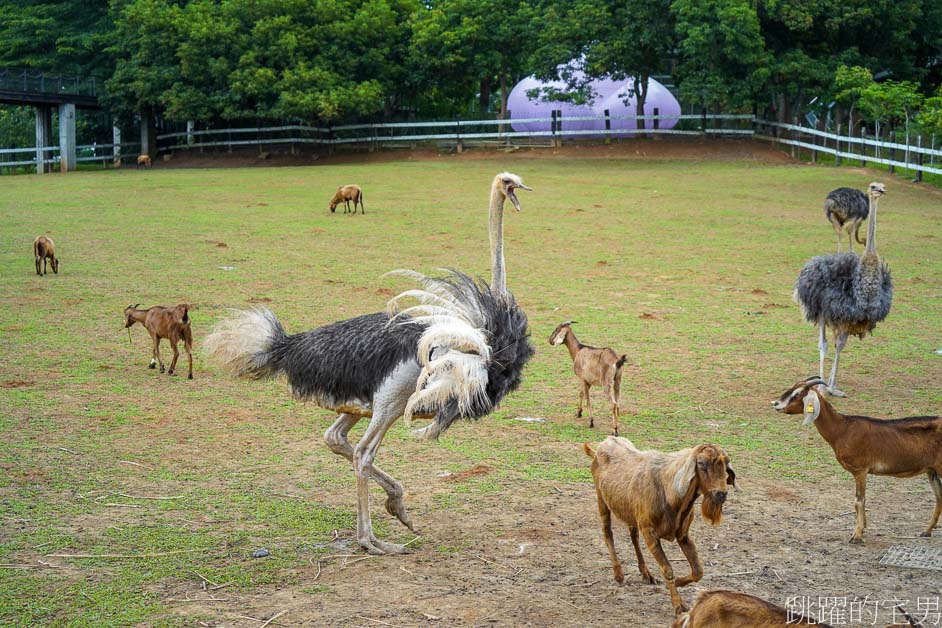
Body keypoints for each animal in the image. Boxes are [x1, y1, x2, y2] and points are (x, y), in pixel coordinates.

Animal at [588, 436, 740, 612]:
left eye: (726, 464)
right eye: (701, 463)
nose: (721, 494)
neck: (671, 493)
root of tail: (608, 440)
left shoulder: (683, 535)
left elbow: (698, 571)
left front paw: (680, 581)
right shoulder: (650, 533)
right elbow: (667, 569)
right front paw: (678, 605)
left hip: (631, 513)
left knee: (633, 536)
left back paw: (646, 573)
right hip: (602, 499)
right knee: (607, 532)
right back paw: (619, 574)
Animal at [776, 376, 942, 544]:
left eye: (798, 393)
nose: (776, 404)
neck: (843, 429)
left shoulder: (860, 470)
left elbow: (858, 501)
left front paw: (857, 536)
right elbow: (864, 500)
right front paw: (863, 528)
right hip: (932, 470)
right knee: (939, 496)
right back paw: (926, 531)